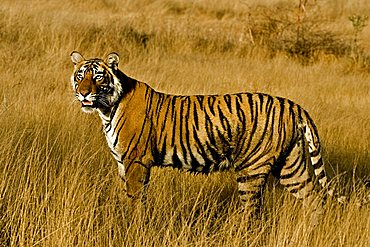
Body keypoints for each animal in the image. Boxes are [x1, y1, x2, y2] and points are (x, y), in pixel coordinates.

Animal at [70, 50, 344, 218]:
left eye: (98, 77)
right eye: (80, 76)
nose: (83, 93)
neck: (106, 109)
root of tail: (294, 105)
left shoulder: (136, 161)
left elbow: (135, 198)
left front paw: (133, 224)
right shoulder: (122, 162)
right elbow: (126, 194)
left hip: (252, 168)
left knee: (252, 211)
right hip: (290, 164)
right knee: (314, 199)